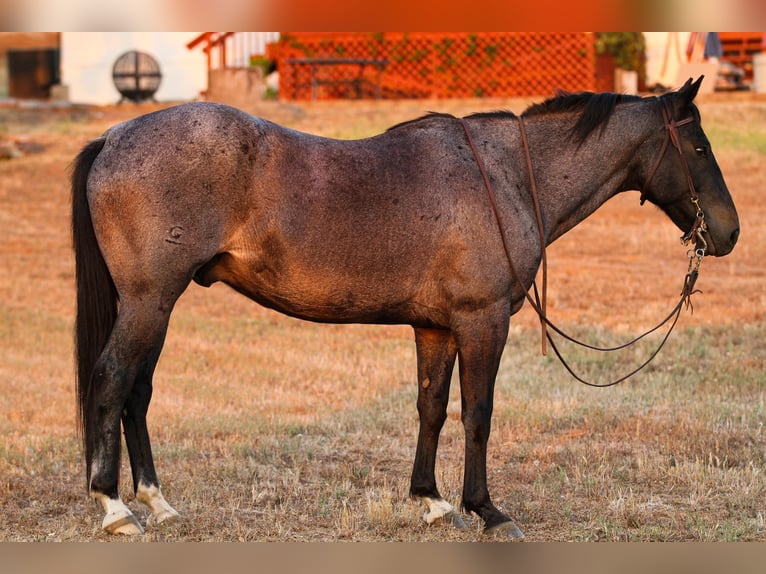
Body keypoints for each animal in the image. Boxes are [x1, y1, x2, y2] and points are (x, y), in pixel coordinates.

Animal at [71, 77, 739, 538]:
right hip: (150, 303)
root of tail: (114, 137)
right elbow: (477, 414)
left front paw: (432, 501)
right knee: (112, 380)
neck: (504, 176)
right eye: (700, 145)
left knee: (136, 393)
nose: (729, 233)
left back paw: (156, 502)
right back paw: (115, 507)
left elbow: (432, 409)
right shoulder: (482, 321)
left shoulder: (435, 327)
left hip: (156, 306)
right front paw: (487, 510)